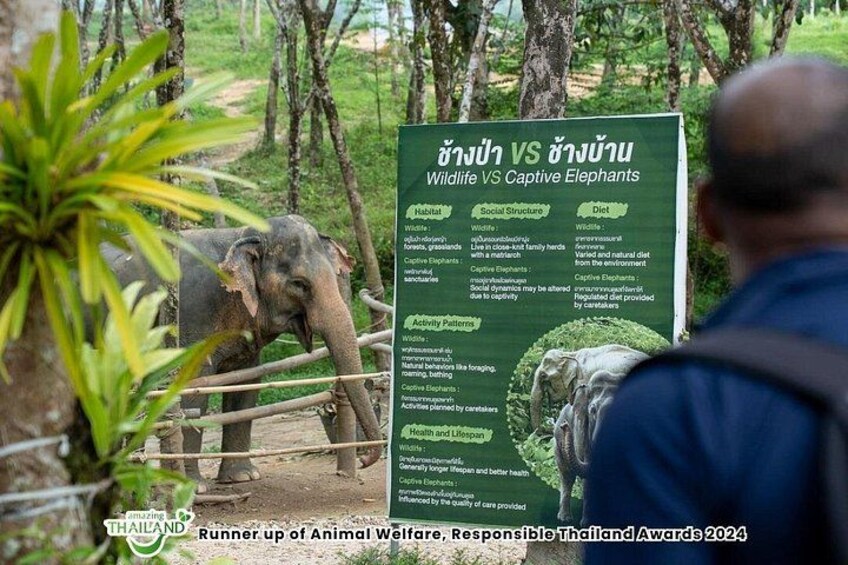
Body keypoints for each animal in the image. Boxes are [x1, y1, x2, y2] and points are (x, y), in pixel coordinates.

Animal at [103, 215, 382, 490]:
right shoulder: (190, 313)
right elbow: (192, 387)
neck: (241, 235)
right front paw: (193, 487)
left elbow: (246, 385)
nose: (364, 461)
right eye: (299, 284)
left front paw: (242, 478)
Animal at [554, 369, 627, 524]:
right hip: (557, 443)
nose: (565, 426)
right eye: (592, 411)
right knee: (567, 476)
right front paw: (587, 524)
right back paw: (564, 519)